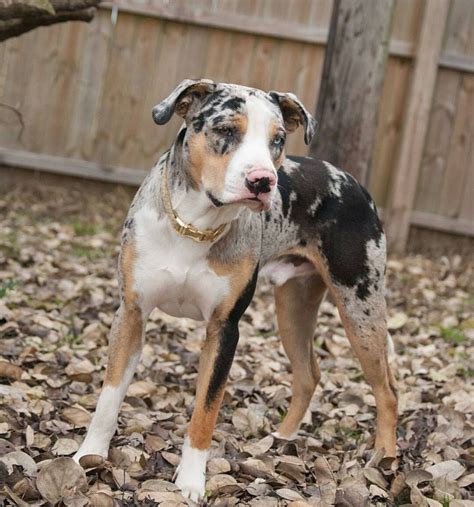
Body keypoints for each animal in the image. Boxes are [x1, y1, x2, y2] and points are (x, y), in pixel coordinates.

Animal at [74, 78, 398, 500]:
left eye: (278, 139)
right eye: (226, 130)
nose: (262, 181)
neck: (195, 225)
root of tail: (359, 186)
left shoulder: (224, 330)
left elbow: (205, 411)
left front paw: (190, 482)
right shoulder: (131, 314)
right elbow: (109, 396)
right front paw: (88, 456)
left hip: (360, 308)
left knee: (387, 390)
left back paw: (384, 459)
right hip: (293, 309)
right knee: (309, 374)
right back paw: (280, 440)